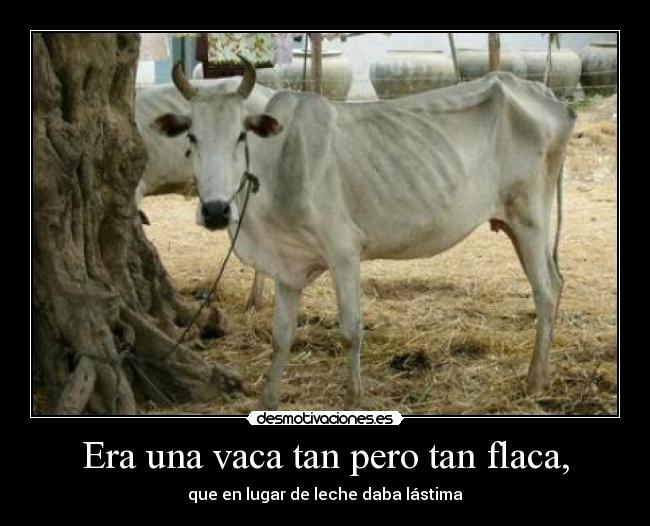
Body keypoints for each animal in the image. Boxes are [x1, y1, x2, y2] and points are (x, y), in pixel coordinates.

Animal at [152, 59, 576, 410]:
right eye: (191, 137)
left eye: (241, 135)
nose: (215, 210)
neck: (278, 166)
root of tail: (549, 99)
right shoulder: (288, 264)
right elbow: (281, 335)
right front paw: (267, 401)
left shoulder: (343, 251)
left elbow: (351, 330)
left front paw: (354, 398)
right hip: (517, 227)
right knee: (555, 283)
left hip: (530, 219)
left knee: (546, 291)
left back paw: (535, 380)